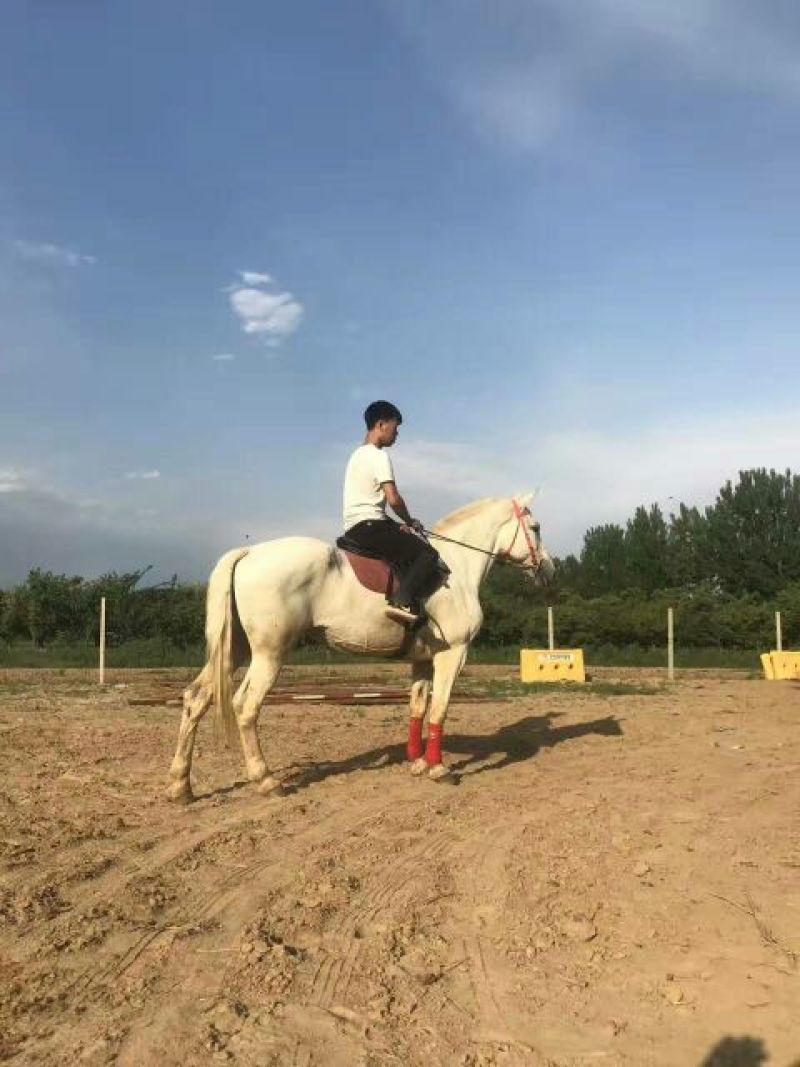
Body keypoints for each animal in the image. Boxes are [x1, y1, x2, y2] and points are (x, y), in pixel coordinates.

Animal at [167, 493, 554, 801]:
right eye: (535, 528)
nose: (548, 570)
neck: (456, 569)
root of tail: (248, 553)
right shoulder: (452, 654)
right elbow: (440, 708)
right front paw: (438, 769)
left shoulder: (422, 660)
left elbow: (417, 707)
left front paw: (416, 762)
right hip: (269, 654)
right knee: (245, 706)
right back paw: (265, 780)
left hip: (236, 651)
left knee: (196, 699)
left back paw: (180, 786)